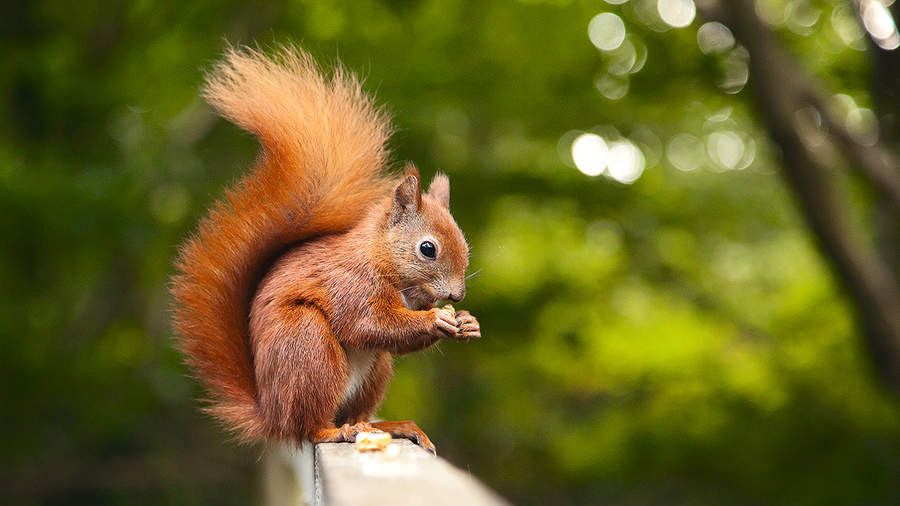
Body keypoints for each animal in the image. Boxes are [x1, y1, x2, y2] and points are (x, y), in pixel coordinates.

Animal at [168, 45, 478, 452]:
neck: (380, 259)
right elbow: (371, 324)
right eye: (428, 249)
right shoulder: (351, 286)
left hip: (373, 371)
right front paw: (436, 319)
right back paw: (334, 431)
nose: (457, 296)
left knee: (355, 412)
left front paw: (467, 322)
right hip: (309, 346)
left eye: (465, 245)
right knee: (310, 426)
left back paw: (388, 425)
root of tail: (272, 415)